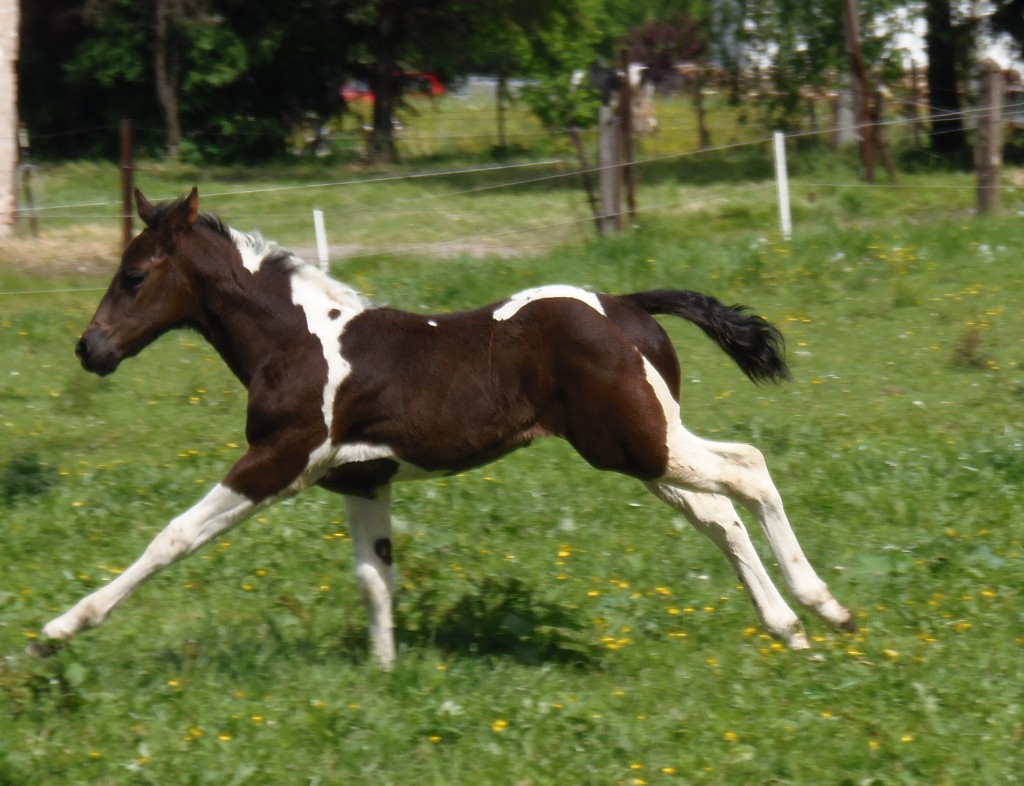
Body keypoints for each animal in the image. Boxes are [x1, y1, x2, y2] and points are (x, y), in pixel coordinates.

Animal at [32, 188, 851, 663]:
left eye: (134, 276)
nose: (90, 349)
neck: (297, 339)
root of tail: (625, 304)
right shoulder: (364, 479)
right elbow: (375, 580)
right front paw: (383, 677)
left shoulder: (280, 459)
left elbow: (173, 536)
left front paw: (61, 630)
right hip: (643, 448)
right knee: (720, 514)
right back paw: (788, 627)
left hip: (637, 443)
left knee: (748, 469)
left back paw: (823, 605)